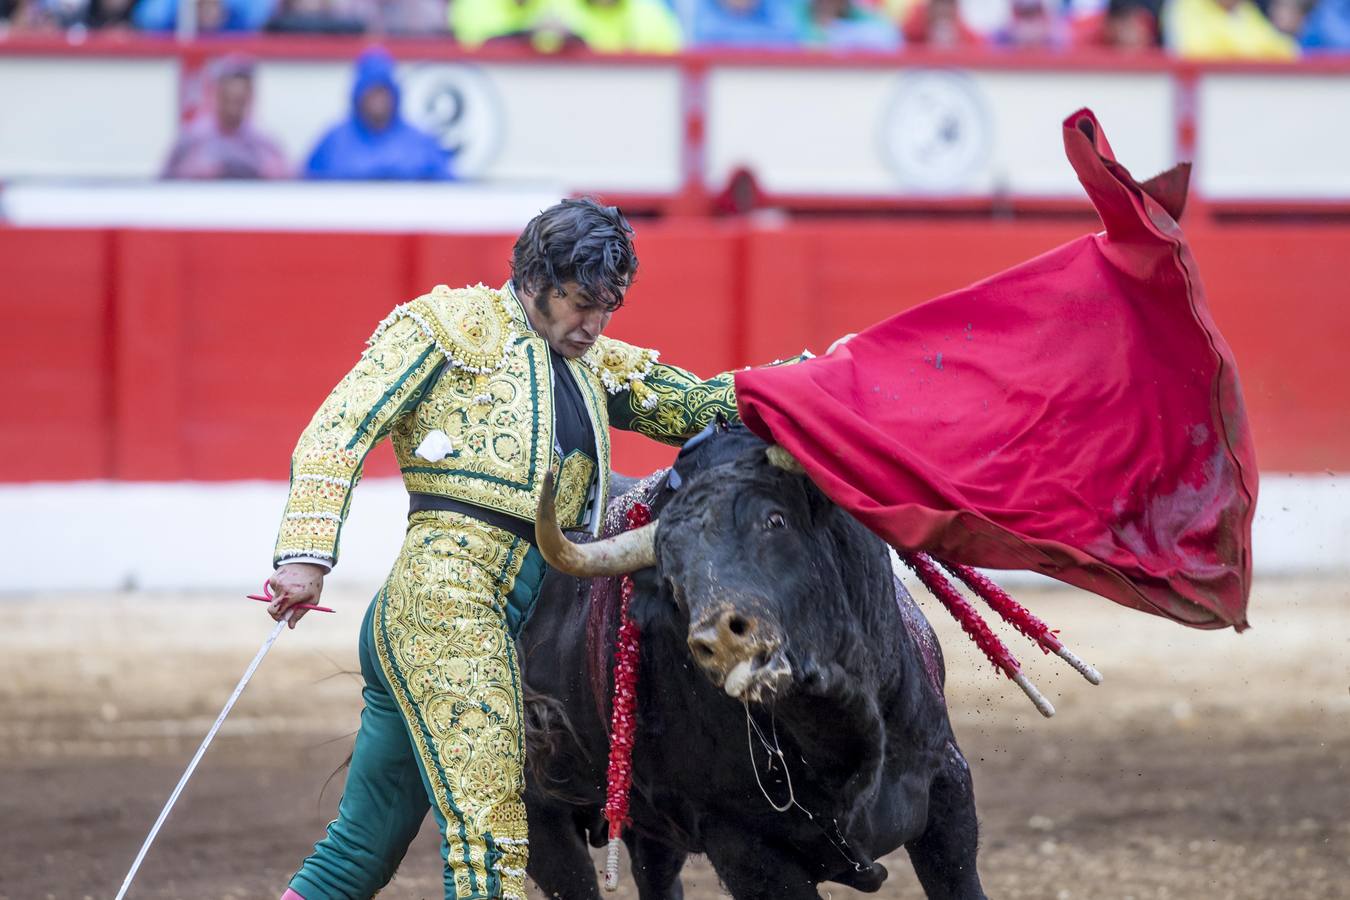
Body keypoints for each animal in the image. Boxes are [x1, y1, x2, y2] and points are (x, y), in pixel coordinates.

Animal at [521, 426, 988, 895]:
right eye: (671, 575)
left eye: (775, 520)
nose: (721, 640)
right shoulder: (743, 845)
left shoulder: (948, 784)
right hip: (542, 820)